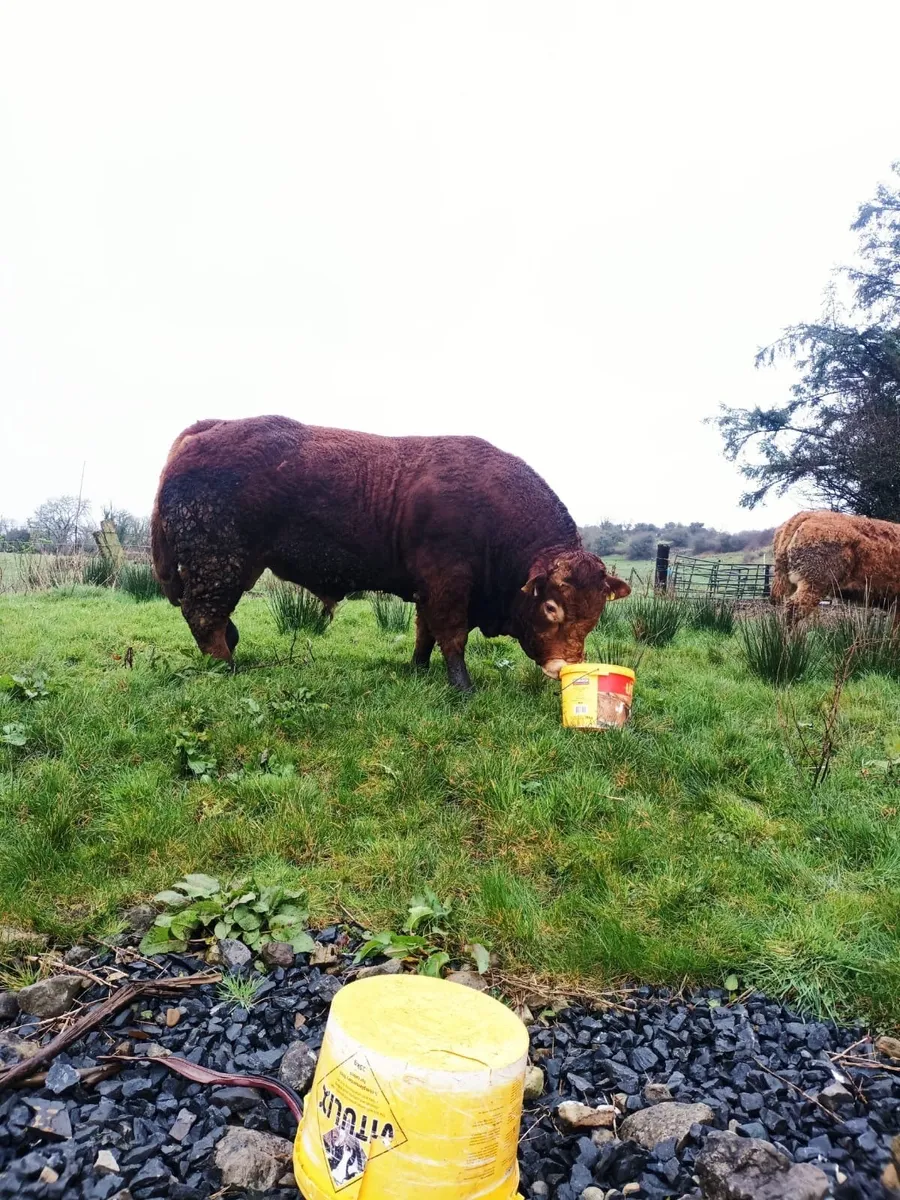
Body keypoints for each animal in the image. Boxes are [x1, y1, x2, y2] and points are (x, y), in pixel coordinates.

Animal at [150, 415, 630, 690]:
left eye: (595, 614)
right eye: (551, 607)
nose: (565, 667)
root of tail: (209, 427)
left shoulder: (428, 588)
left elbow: (425, 633)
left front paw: (418, 668)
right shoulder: (448, 584)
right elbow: (451, 635)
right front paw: (462, 687)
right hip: (218, 566)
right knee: (204, 616)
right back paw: (225, 668)